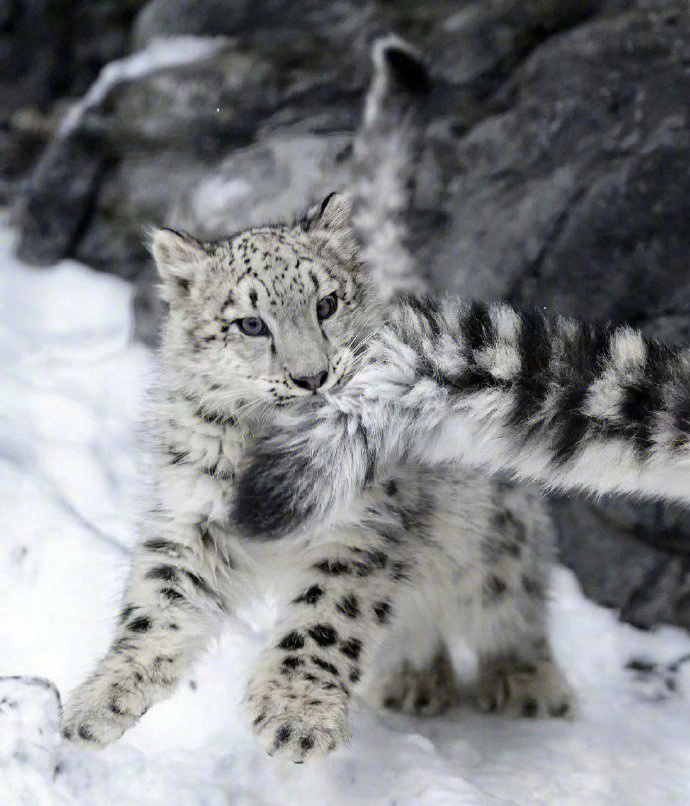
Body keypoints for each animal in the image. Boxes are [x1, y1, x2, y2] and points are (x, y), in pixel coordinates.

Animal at [61, 42, 568, 764]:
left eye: (326, 303)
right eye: (251, 324)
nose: (313, 377)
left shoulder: (362, 524)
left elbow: (329, 614)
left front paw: (295, 715)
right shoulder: (195, 514)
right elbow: (160, 601)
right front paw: (100, 699)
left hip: (494, 535)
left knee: (511, 597)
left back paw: (526, 681)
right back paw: (414, 680)